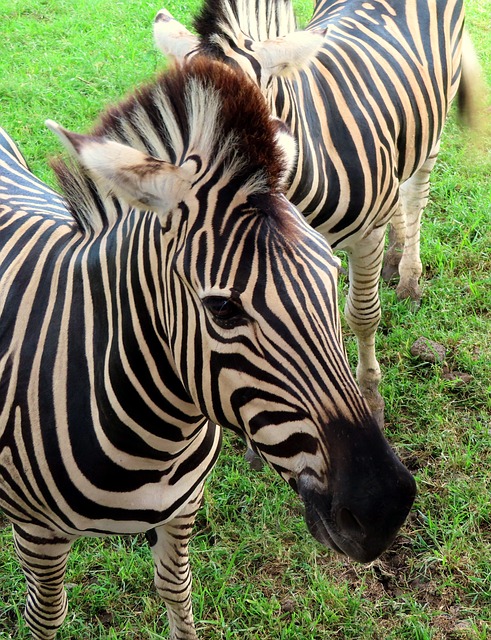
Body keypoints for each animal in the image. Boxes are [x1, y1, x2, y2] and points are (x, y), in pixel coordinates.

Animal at [0, 58, 418, 640]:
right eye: (222, 309)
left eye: (331, 274)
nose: (384, 509)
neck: (155, 433)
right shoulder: (36, 533)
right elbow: (46, 616)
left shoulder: (181, 510)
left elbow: (177, 591)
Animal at [156, 1, 486, 430]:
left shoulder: (365, 238)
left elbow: (361, 316)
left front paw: (369, 401)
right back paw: (396, 255)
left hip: (433, 119)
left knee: (415, 193)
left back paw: (409, 278)